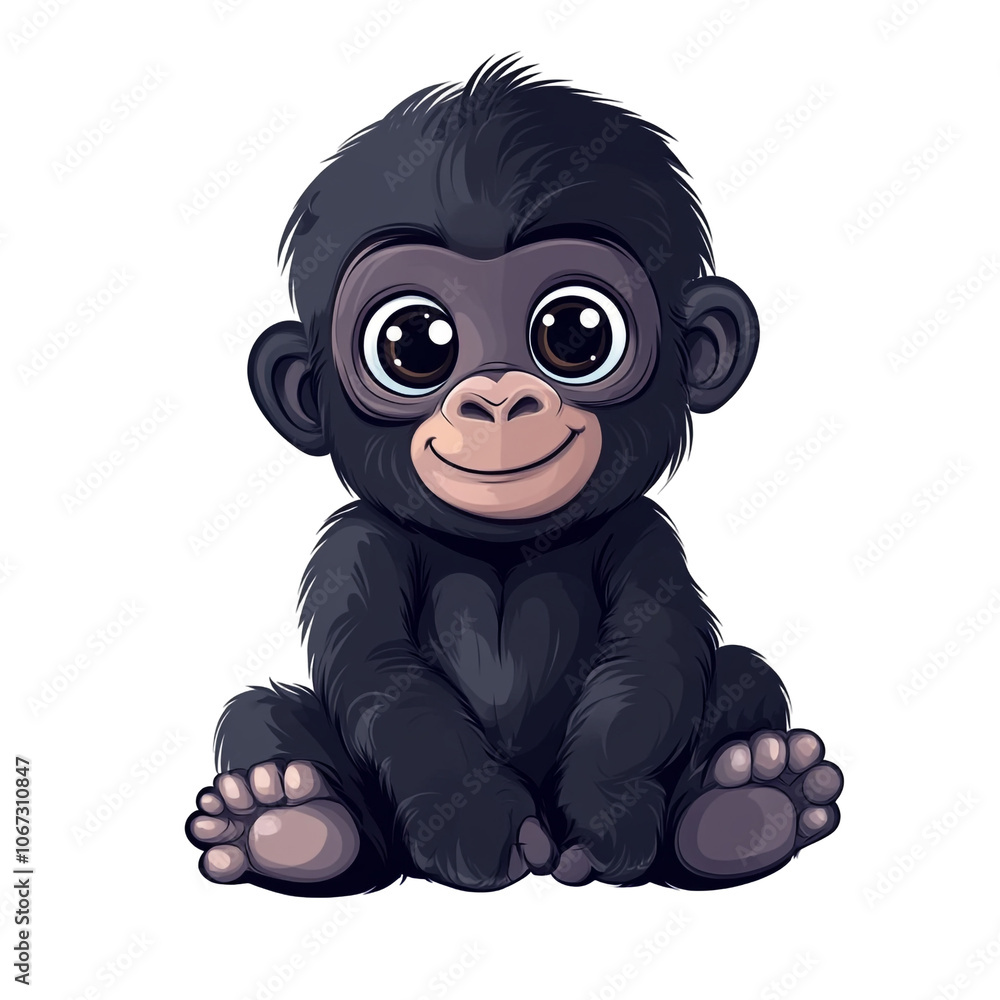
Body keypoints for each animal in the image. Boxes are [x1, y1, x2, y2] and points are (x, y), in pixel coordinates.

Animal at [186, 56, 842, 895]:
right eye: (414, 344)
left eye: (576, 332)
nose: (498, 399)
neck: (501, 547)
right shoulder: (354, 543)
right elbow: (382, 673)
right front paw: (473, 821)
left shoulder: (644, 532)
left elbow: (650, 655)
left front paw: (605, 819)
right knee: (259, 717)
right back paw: (285, 820)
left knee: (744, 676)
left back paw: (744, 805)